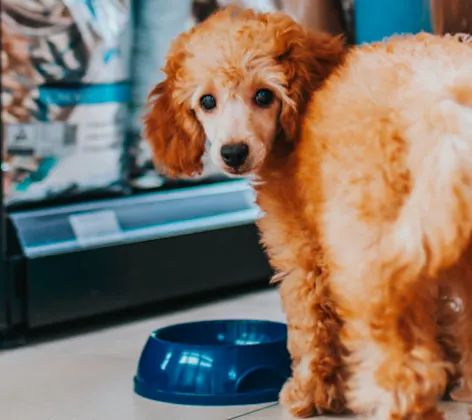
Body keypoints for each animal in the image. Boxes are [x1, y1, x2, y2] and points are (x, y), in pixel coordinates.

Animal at [144, 7, 472, 420]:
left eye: (264, 95)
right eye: (207, 101)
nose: (233, 152)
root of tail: (445, 106)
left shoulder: (300, 250)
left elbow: (309, 325)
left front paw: (309, 393)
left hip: (370, 252)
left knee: (399, 364)